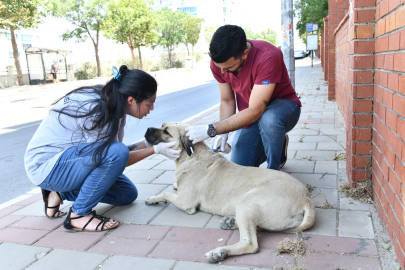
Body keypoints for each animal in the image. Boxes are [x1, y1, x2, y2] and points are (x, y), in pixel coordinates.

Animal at [144, 122, 316, 264]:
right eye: (162, 125)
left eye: (166, 131)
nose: (146, 129)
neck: (192, 156)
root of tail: (307, 199)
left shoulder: (186, 202)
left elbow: (166, 194)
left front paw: (154, 198)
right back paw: (230, 222)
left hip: (246, 202)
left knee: (250, 243)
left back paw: (220, 251)